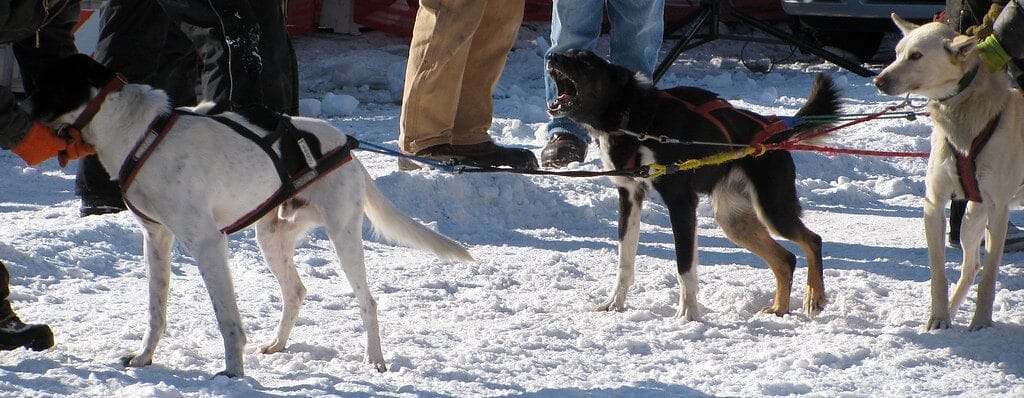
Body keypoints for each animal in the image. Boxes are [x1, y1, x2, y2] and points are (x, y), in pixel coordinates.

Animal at [33, 54, 475, 374]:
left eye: (42, 85)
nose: (21, 109)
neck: (141, 134)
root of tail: (346, 147)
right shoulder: (156, 240)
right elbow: (156, 312)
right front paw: (145, 358)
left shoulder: (208, 244)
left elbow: (227, 319)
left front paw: (233, 372)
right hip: (273, 236)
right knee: (296, 290)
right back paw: (279, 343)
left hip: (343, 237)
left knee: (367, 301)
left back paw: (376, 360)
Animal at [548, 49, 843, 317]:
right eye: (569, 53)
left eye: (586, 62)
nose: (552, 56)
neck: (635, 119)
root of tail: (772, 126)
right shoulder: (630, 196)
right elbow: (625, 260)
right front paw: (615, 302)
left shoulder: (681, 202)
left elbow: (684, 266)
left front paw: (688, 314)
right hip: (734, 221)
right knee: (786, 259)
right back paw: (780, 308)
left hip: (772, 209)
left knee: (813, 240)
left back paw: (814, 296)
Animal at [872, 13, 1024, 329]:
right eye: (897, 52)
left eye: (916, 55)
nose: (878, 80)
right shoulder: (934, 204)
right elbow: (939, 273)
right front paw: (939, 316)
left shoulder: (999, 210)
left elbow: (989, 277)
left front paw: (981, 322)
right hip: (970, 221)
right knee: (970, 266)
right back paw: (953, 309)